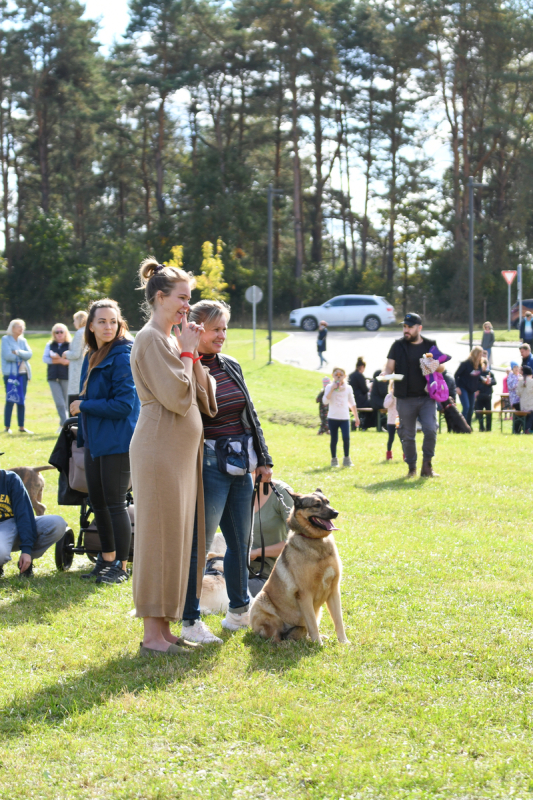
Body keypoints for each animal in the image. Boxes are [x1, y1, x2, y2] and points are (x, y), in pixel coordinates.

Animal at [249, 484, 350, 648]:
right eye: (316, 505)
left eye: (327, 502)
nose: (336, 513)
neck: (316, 541)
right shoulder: (304, 595)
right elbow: (312, 624)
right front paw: (318, 645)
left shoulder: (334, 591)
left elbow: (338, 621)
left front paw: (343, 642)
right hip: (262, 601)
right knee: (274, 637)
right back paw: (285, 645)